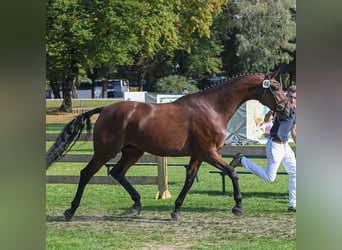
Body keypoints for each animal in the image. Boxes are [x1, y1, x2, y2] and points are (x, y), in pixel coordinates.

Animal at [46, 70, 290, 221]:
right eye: (275, 87)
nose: (287, 110)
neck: (212, 108)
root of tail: (105, 109)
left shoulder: (198, 155)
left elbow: (189, 180)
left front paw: (176, 210)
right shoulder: (208, 152)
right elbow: (232, 172)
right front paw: (238, 206)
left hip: (133, 151)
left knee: (117, 172)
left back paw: (136, 205)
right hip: (106, 151)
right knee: (86, 173)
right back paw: (70, 211)